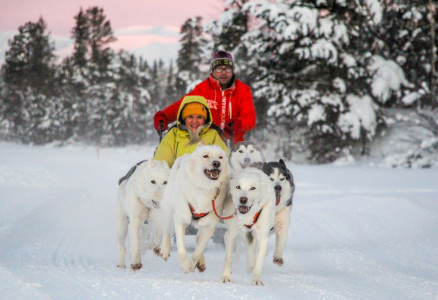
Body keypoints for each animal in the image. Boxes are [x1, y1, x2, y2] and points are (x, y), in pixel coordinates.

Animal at [160, 145, 229, 274]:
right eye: (205, 156)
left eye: (220, 157)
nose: (216, 163)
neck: (204, 189)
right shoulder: (180, 219)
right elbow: (181, 248)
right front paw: (185, 265)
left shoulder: (209, 226)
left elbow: (198, 251)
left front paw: (192, 264)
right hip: (169, 206)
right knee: (166, 228)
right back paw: (165, 249)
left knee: (198, 238)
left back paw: (201, 262)